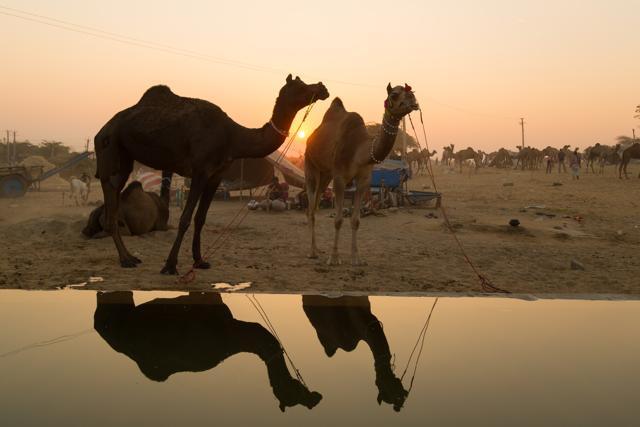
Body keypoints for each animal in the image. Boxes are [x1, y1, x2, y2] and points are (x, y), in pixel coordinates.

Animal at [95, 75, 329, 273]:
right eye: (300, 86)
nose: (322, 88)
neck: (233, 136)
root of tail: (102, 130)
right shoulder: (199, 171)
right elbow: (185, 218)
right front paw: (170, 265)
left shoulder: (215, 176)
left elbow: (201, 218)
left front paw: (199, 260)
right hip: (110, 151)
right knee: (110, 197)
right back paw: (125, 259)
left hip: (124, 159)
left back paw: (130, 257)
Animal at [304, 83, 418, 265]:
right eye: (394, 94)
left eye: (412, 93)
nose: (413, 101)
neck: (360, 150)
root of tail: (310, 138)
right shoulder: (339, 178)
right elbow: (338, 220)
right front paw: (334, 258)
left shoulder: (363, 180)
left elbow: (356, 220)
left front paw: (356, 258)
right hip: (311, 165)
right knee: (310, 206)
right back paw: (312, 252)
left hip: (326, 174)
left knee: (314, 206)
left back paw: (317, 249)